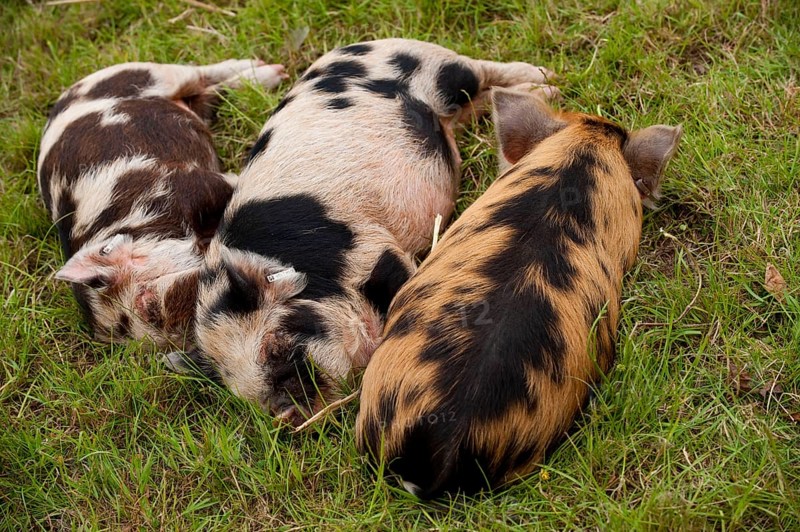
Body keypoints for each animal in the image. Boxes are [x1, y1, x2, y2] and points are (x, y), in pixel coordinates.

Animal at [38, 59, 287, 349]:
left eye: (148, 304)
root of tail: (69, 92)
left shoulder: (190, 184)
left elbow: (230, 186)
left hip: (146, 73)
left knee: (199, 74)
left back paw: (273, 72)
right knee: (210, 94)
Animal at [164, 39, 558, 426]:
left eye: (275, 346)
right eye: (244, 394)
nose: (286, 414)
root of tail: (356, 46)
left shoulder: (372, 247)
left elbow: (401, 285)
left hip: (438, 66)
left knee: (480, 71)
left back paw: (547, 81)